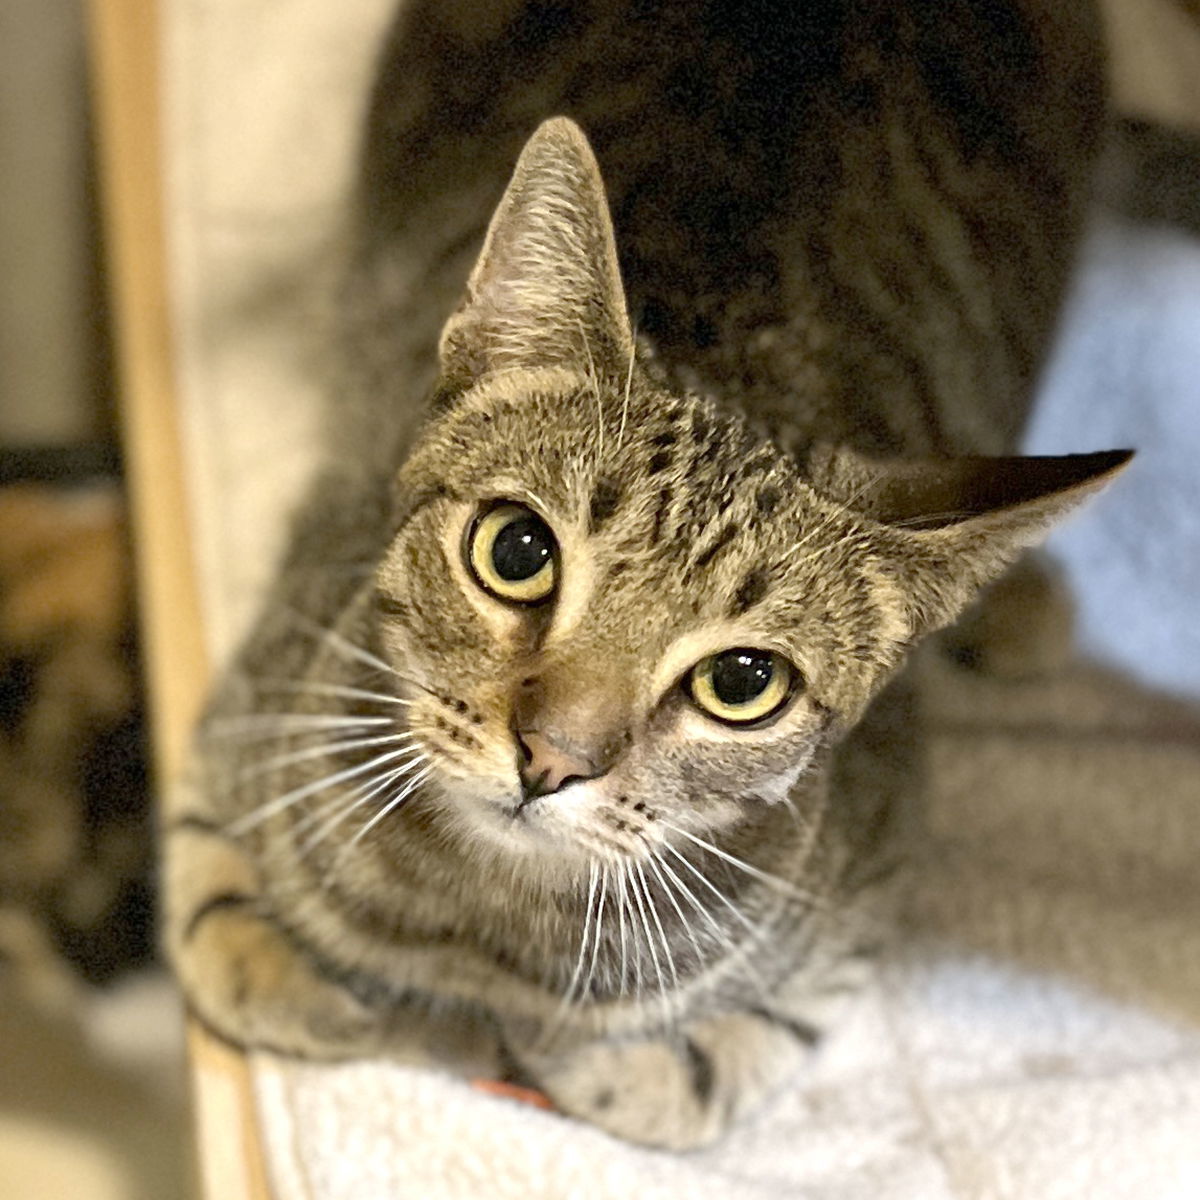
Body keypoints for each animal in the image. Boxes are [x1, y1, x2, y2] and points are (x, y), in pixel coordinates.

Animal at [164, 0, 1128, 1147]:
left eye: (742, 682)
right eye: (517, 553)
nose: (550, 760)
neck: (485, 925)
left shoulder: (864, 895)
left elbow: (704, 1068)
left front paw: (599, 1062)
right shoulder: (250, 698)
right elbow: (220, 925)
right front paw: (309, 980)